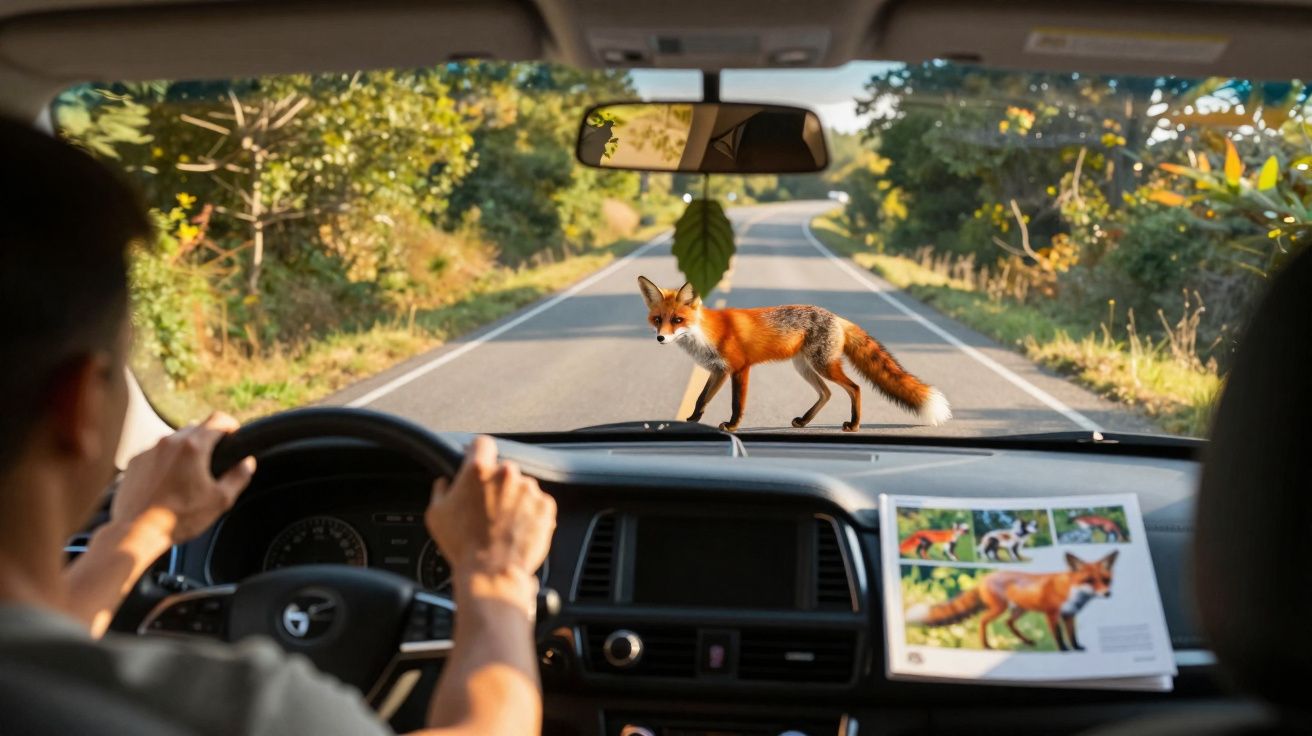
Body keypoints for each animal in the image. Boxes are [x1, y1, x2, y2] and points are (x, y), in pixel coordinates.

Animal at [638, 277, 951, 432]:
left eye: (677, 320)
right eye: (658, 320)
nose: (661, 337)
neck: (706, 335)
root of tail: (838, 317)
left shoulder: (739, 369)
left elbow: (737, 404)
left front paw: (732, 425)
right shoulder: (718, 370)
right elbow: (702, 399)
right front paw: (691, 421)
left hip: (823, 365)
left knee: (855, 388)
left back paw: (854, 425)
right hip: (804, 367)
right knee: (827, 393)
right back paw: (804, 421)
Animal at [905, 551, 1118, 652]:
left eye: (1106, 580)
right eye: (1089, 580)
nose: (1108, 594)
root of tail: (985, 578)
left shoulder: (1069, 615)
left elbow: (1073, 636)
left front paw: (1076, 648)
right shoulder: (1052, 614)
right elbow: (1059, 636)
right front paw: (1064, 651)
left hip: (1019, 610)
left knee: (1008, 623)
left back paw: (1026, 641)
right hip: (1000, 608)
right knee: (983, 620)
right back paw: (986, 646)